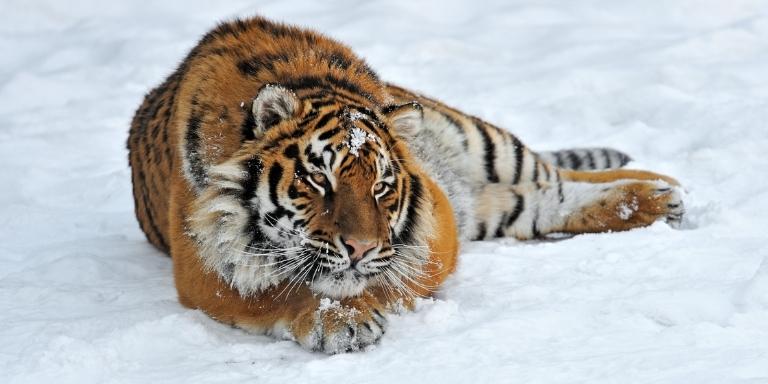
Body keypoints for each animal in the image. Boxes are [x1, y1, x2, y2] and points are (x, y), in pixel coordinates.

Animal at [127, 17, 684, 354]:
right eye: (319, 179)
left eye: (380, 187)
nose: (359, 247)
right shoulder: (201, 264)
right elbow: (273, 292)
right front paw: (338, 319)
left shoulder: (434, 232)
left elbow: (393, 277)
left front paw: (351, 307)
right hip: (493, 200)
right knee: (545, 200)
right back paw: (655, 199)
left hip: (485, 142)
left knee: (555, 177)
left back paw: (662, 186)